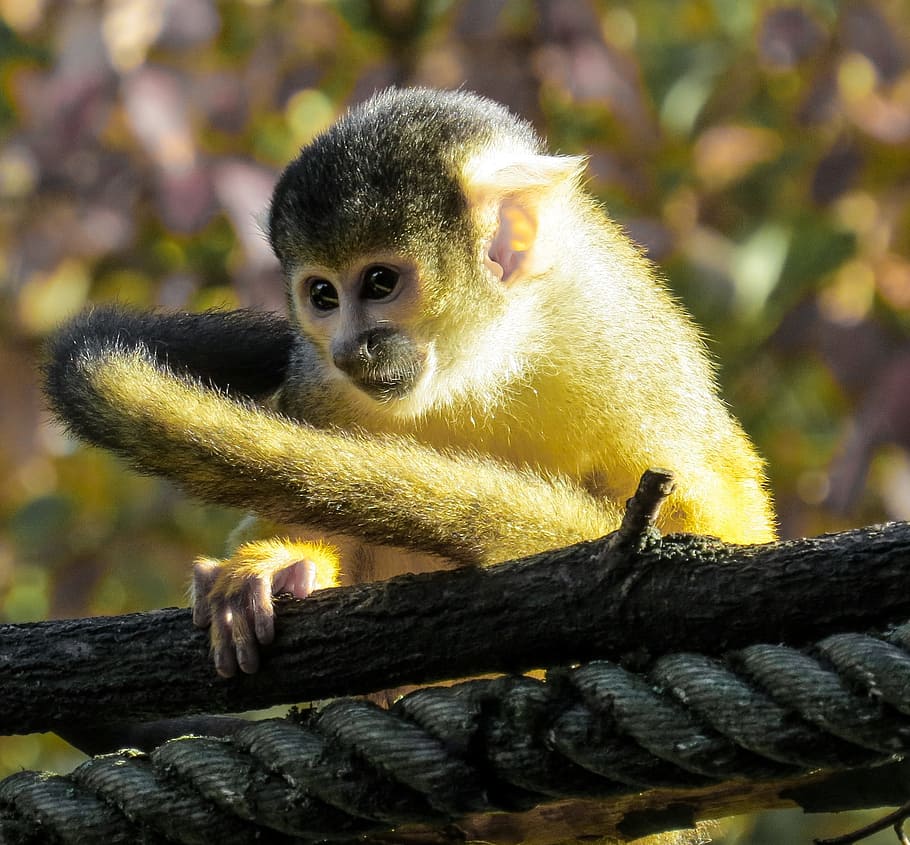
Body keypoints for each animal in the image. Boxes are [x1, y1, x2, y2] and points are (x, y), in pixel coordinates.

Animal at [46, 87, 775, 680]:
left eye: (379, 283)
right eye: (323, 295)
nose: (350, 348)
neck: (483, 357)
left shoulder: (619, 344)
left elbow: (718, 524)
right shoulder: (319, 379)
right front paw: (279, 563)